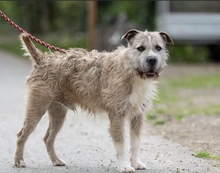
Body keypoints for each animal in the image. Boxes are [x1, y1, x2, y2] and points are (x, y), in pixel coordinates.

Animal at [14, 29, 174, 172]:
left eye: (158, 48)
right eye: (140, 48)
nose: (152, 59)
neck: (132, 72)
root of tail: (42, 59)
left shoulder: (137, 116)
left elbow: (135, 143)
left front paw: (135, 163)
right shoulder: (117, 115)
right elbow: (121, 143)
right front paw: (124, 166)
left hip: (58, 114)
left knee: (48, 138)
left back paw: (55, 160)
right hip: (36, 110)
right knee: (21, 135)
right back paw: (19, 161)